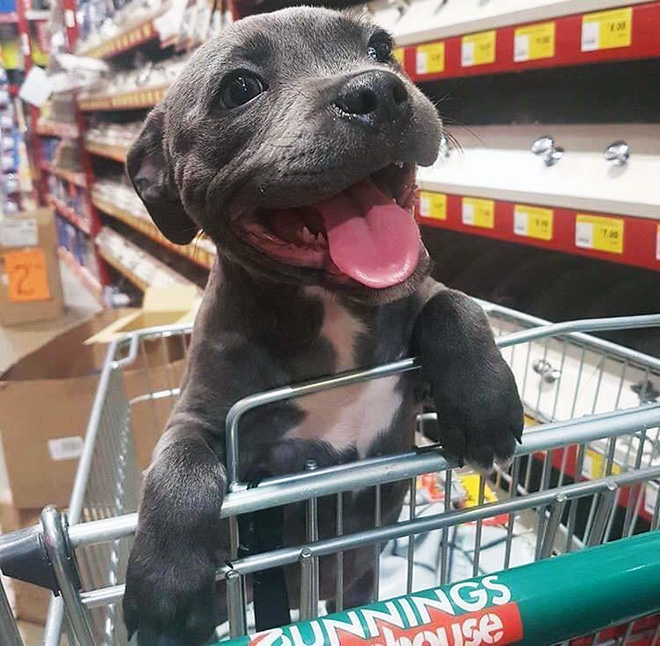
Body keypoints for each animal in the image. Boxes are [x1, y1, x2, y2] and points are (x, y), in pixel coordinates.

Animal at [124, 7, 524, 644]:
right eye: (239, 88)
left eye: (382, 49)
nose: (377, 91)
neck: (333, 312)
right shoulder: (203, 413)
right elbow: (178, 464)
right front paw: (164, 584)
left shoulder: (418, 352)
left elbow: (455, 305)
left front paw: (484, 406)